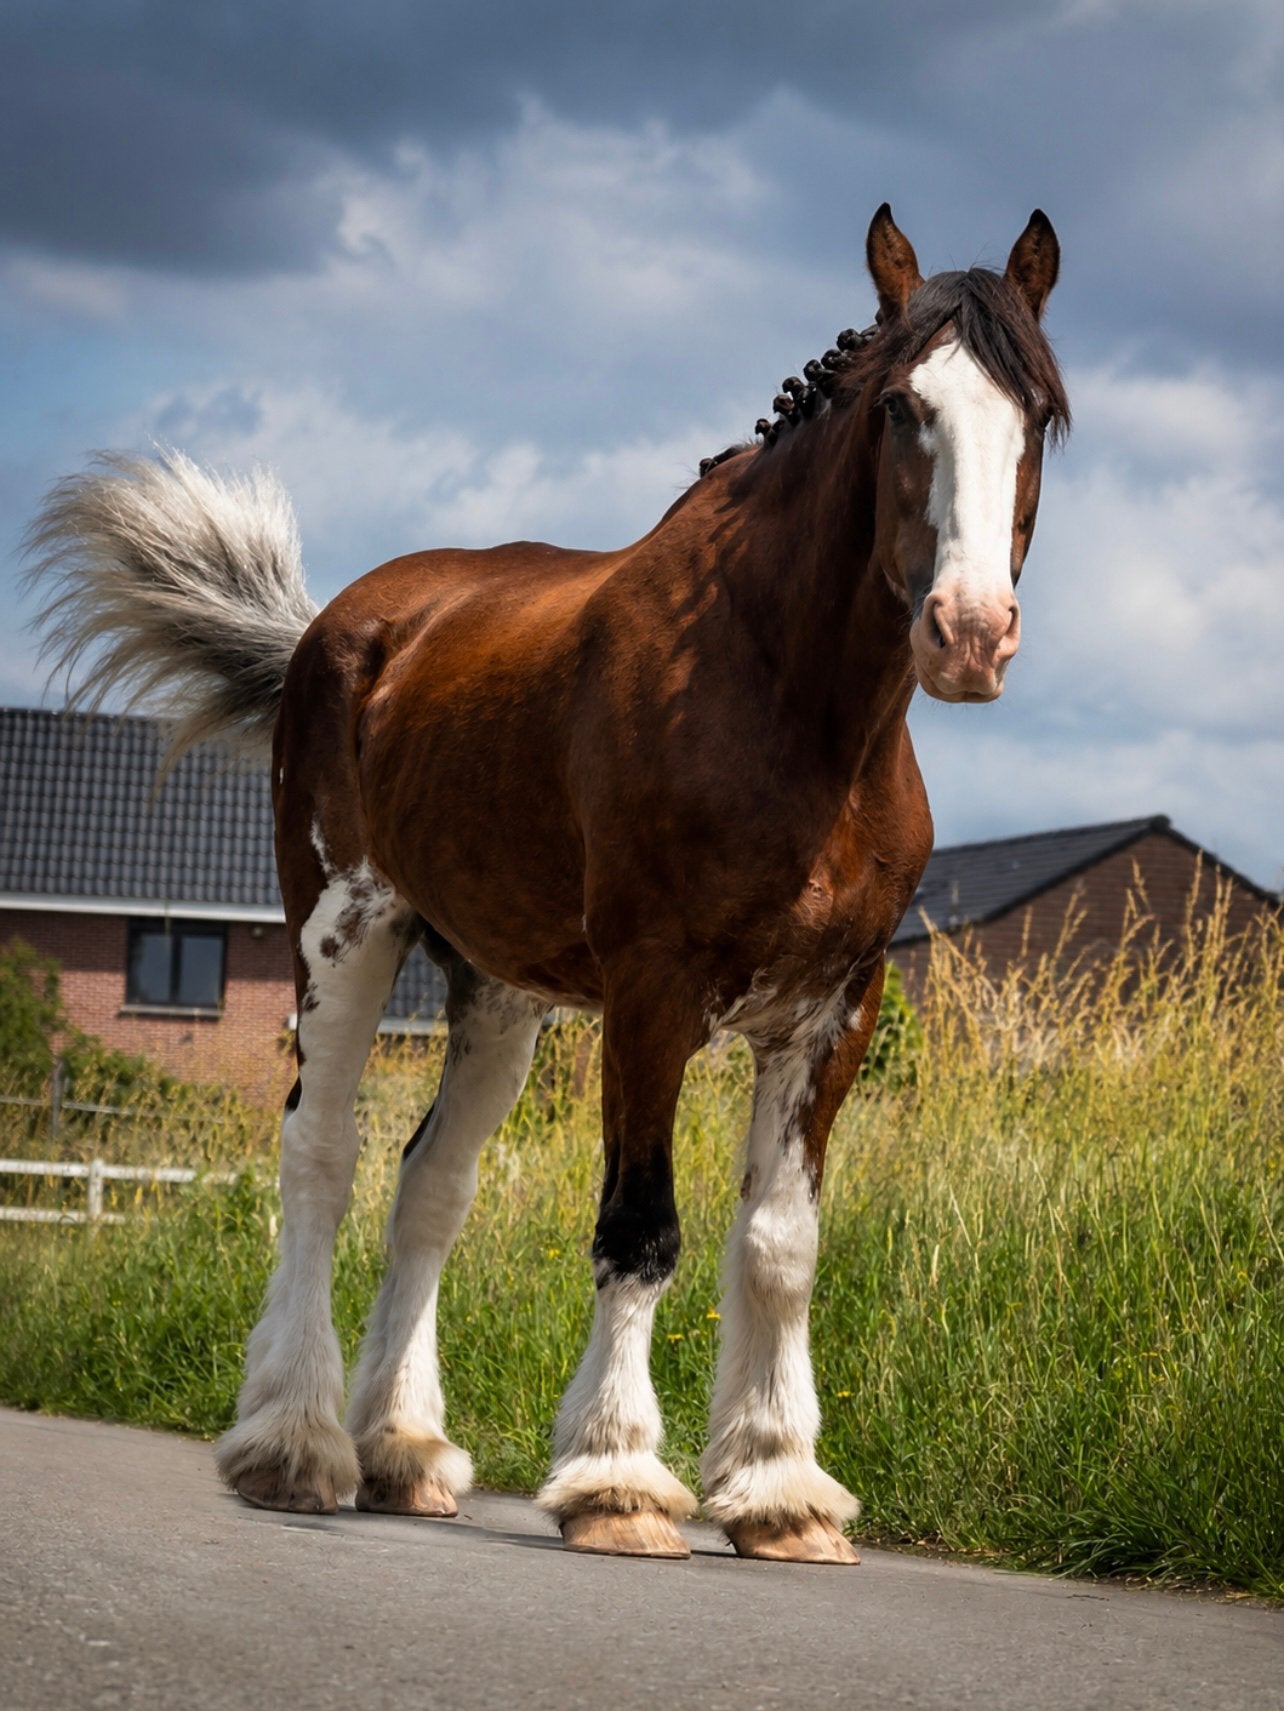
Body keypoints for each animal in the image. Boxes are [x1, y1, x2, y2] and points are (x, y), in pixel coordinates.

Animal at [27, 204, 1068, 1564]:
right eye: (903, 405)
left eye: (1038, 412)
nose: (969, 634)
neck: (788, 704)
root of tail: (338, 628)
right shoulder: (652, 994)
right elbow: (640, 1229)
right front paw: (618, 1482)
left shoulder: (834, 1012)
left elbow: (779, 1246)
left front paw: (782, 1492)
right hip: (344, 935)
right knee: (322, 1154)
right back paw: (293, 1444)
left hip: (500, 994)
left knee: (430, 1185)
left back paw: (404, 1451)